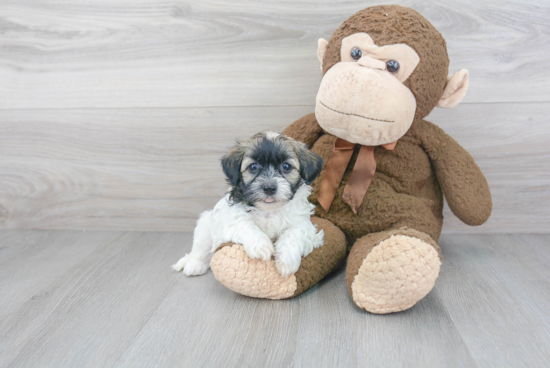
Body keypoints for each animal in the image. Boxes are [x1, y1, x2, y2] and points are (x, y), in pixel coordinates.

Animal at [175, 131, 326, 278]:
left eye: (286, 166)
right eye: (253, 167)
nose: (269, 188)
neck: (269, 210)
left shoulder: (304, 224)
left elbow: (294, 232)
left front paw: (287, 258)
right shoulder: (231, 220)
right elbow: (245, 224)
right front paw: (260, 245)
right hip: (205, 225)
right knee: (201, 250)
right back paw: (194, 265)